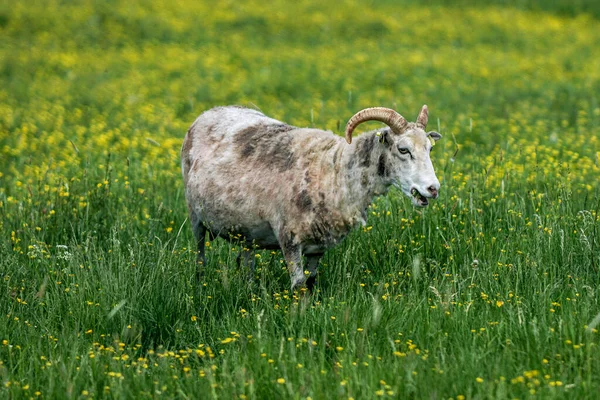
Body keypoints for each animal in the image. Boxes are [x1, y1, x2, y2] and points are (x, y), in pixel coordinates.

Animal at [182, 104, 440, 290]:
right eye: (403, 150)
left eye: (430, 148)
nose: (433, 188)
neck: (335, 169)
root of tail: (212, 110)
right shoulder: (289, 238)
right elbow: (298, 286)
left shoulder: (319, 244)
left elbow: (311, 282)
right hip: (195, 216)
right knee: (200, 255)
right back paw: (200, 284)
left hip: (247, 229)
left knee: (247, 261)